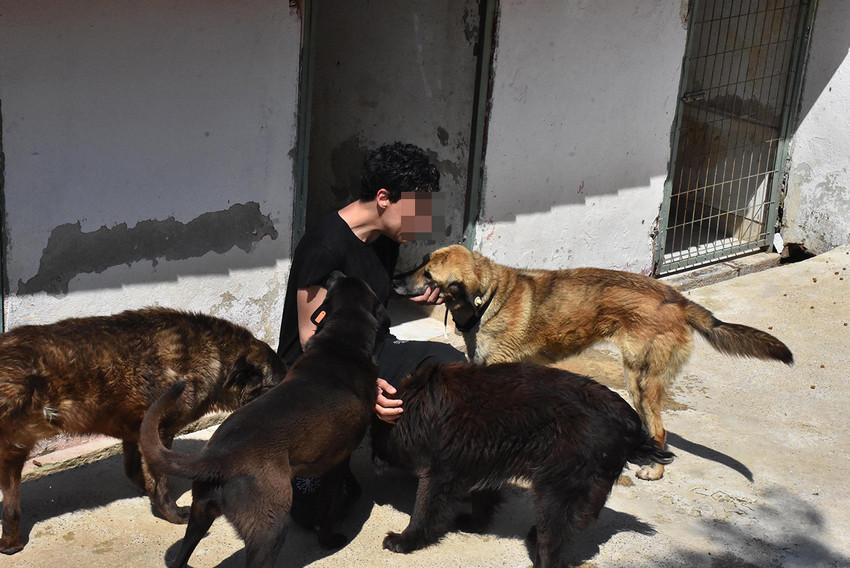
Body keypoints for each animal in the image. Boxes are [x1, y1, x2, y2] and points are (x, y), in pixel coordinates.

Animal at [0, 308, 284, 552]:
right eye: (276, 387)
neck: (214, 356)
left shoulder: (134, 433)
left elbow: (135, 469)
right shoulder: (160, 431)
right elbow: (159, 482)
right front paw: (172, 513)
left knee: (10, 507)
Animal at [140, 272, 388, 564]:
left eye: (338, 284)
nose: (333, 274)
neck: (341, 342)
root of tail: (217, 458)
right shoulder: (336, 463)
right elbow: (325, 511)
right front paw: (328, 539)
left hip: (200, 515)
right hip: (269, 531)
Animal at [374, 362, 672, 564]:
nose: (375, 459)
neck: (416, 407)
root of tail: (630, 426)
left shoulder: (440, 471)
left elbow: (423, 510)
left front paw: (404, 540)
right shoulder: (480, 461)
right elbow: (483, 497)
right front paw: (476, 523)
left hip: (554, 488)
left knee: (552, 544)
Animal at [394, 246, 792, 482]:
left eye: (428, 275)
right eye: (422, 263)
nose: (396, 280)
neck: (488, 297)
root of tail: (677, 299)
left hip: (640, 380)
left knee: (660, 431)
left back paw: (653, 471)